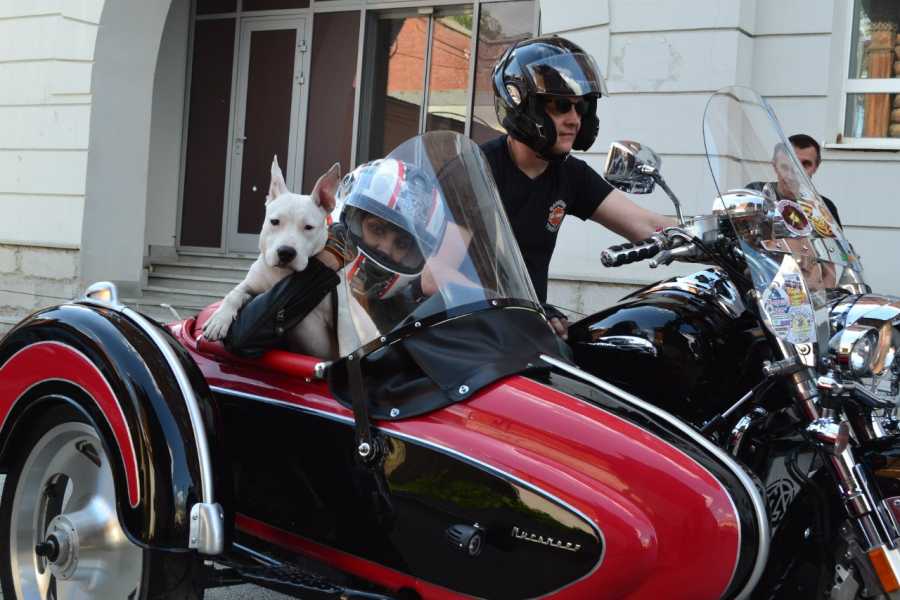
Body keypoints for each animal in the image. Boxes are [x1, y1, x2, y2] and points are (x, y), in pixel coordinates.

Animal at [202, 156, 340, 356]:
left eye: (308, 227)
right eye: (274, 221)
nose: (286, 252)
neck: (281, 274)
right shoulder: (254, 287)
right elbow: (234, 293)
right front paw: (219, 319)